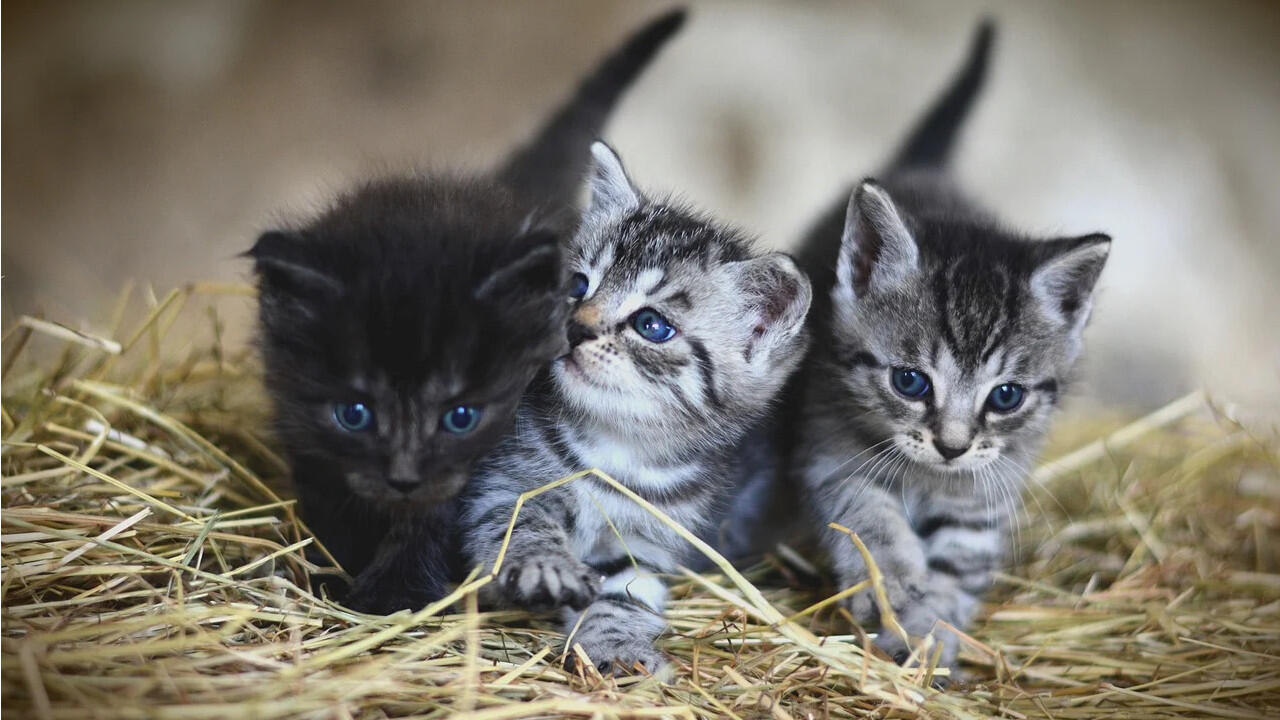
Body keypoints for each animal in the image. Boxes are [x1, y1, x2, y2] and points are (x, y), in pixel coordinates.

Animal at [245, 9, 686, 609]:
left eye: (461, 417)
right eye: (353, 414)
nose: (403, 478)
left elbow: (433, 517)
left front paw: (396, 592)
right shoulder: (304, 430)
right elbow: (330, 501)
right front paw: (334, 569)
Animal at [465, 141, 814, 671]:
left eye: (651, 325)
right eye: (577, 286)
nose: (575, 328)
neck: (617, 446)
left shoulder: (647, 542)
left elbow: (623, 594)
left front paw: (618, 648)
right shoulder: (501, 485)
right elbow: (518, 523)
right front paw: (545, 564)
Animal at [793, 20, 1116, 666]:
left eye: (1006, 396)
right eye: (910, 381)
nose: (952, 446)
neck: (928, 479)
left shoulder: (986, 490)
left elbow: (958, 564)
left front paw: (931, 633)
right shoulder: (829, 446)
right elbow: (867, 516)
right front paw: (893, 586)